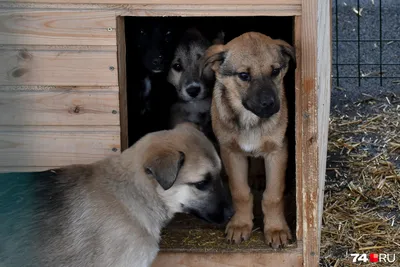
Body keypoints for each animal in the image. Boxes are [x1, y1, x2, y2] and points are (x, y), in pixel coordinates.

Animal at [202, 31, 296, 249]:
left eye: (275, 71)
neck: (250, 120)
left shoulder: (278, 151)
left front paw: (276, 229)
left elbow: (273, 195)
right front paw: (240, 224)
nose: (269, 104)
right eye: (244, 76)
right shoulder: (231, 152)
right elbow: (240, 192)